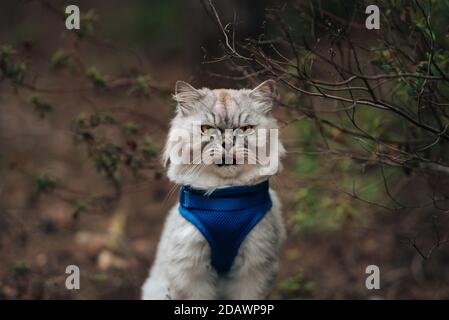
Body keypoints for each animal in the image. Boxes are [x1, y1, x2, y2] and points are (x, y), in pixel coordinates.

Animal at [142, 80, 286, 300]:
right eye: (207, 128)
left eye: (245, 129)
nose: (228, 145)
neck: (226, 200)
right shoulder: (190, 271)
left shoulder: (255, 267)